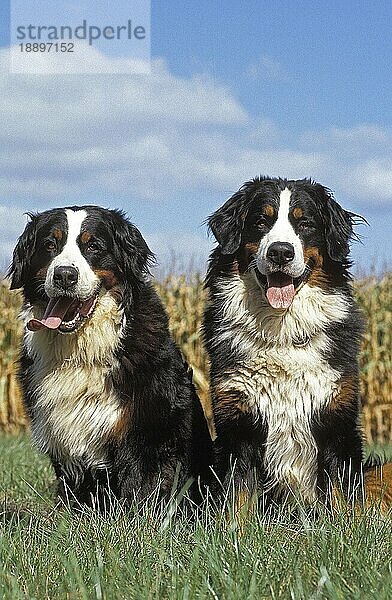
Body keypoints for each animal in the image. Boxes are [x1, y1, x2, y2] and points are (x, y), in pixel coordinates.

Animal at [8, 207, 211, 510]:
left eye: (93, 246)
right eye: (49, 245)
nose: (64, 275)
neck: (81, 350)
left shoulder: (145, 429)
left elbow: (140, 488)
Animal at [202, 176, 370, 508]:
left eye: (304, 223)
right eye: (261, 221)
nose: (280, 252)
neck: (282, 332)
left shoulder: (337, 420)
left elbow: (342, 498)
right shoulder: (237, 422)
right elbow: (237, 498)